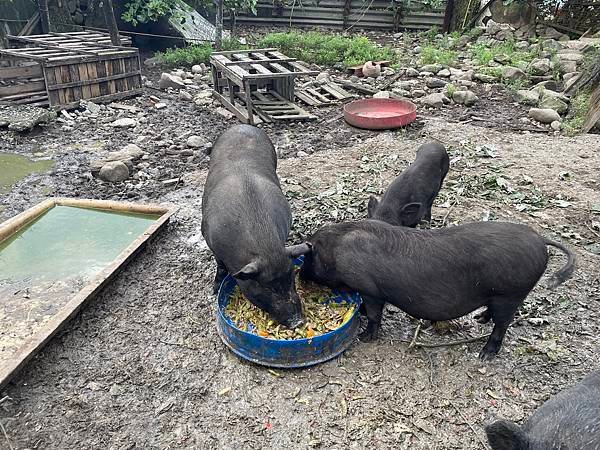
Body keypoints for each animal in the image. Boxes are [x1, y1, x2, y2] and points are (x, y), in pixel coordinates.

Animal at [203, 125, 304, 328]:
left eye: (291, 279)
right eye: (266, 287)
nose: (297, 322)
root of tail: (243, 126)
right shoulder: (210, 240)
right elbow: (221, 267)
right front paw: (214, 290)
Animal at [288, 220, 576, 360]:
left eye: (309, 259)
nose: (301, 276)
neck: (336, 249)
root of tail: (539, 239)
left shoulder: (370, 289)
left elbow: (374, 313)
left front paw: (365, 338)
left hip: (511, 293)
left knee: (503, 325)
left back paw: (485, 355)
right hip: (502, 295)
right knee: (494, 314)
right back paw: (479, 319)